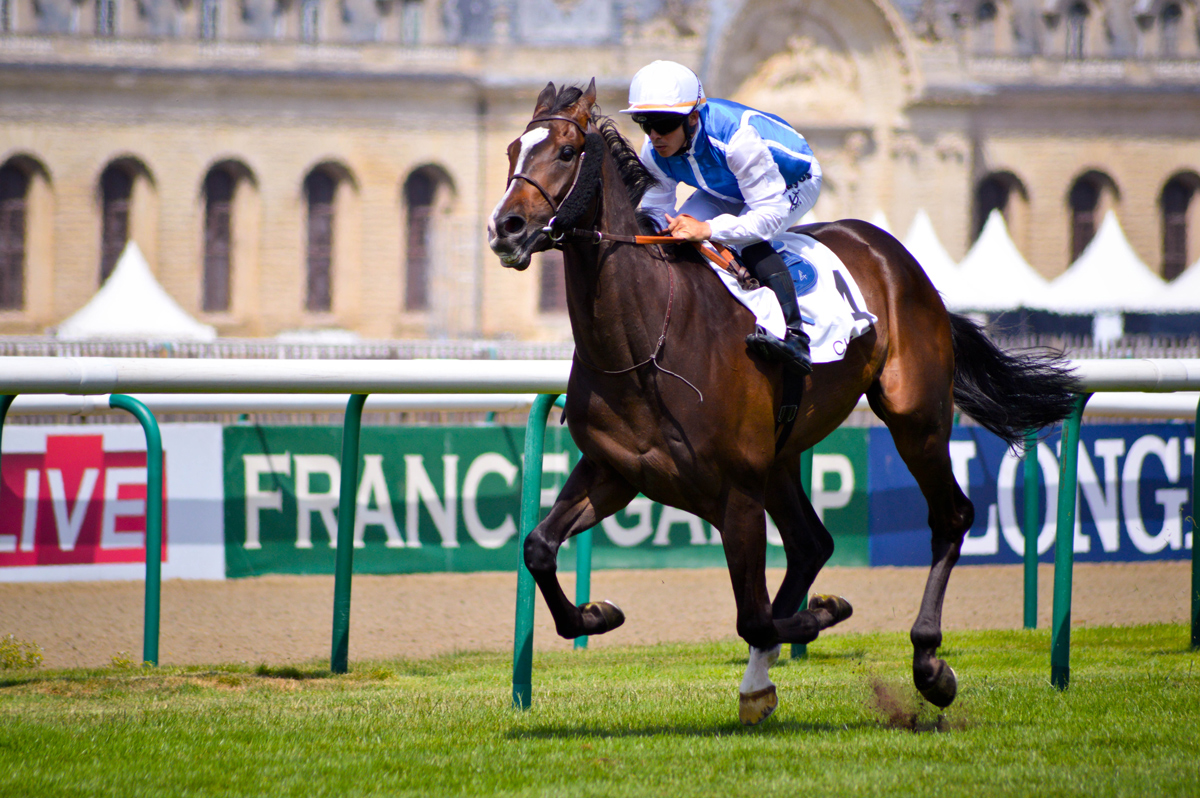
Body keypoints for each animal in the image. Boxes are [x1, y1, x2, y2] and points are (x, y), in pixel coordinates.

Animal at [487, 79, 1080, 720]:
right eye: (512, 150)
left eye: (567, 152)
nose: (506, 228)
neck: (646, 343)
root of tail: (902, 262)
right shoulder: (614, 470)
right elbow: (538, 547)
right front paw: (596, 613)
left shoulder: (736, 491)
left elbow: (753, 616)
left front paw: (824, 613)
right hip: (783, 454)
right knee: (810, 543)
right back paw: (760, 682)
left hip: (916, 417)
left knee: (950, 517)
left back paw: (928, 664)